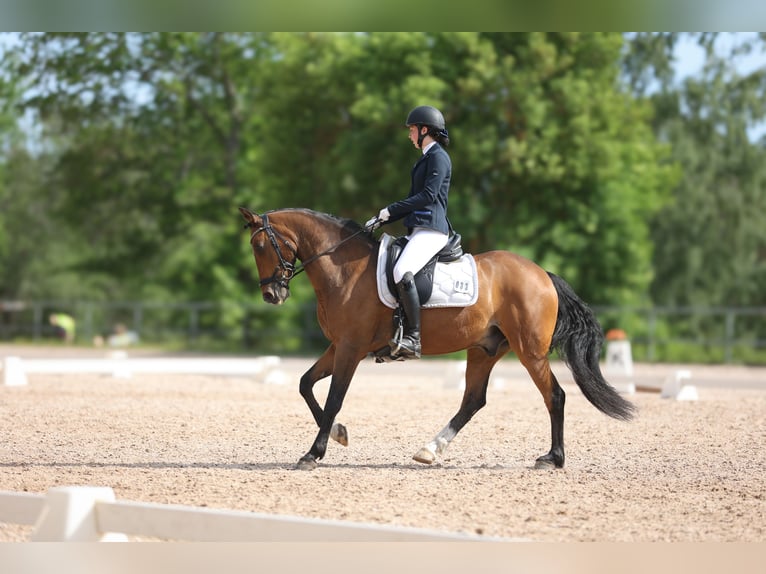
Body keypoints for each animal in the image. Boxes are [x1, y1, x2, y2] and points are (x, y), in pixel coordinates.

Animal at [239, 207, 634, 471]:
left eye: (260, 246)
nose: (272, 295)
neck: (343, 269)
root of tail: (542, 274)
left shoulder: (351, 348)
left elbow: (335, 397)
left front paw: (314, 452)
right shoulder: (338, 345)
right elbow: (306, 384)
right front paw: (338, 433)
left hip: (530, 351)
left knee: (555, 395)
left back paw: (553, 458)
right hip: (484, 349)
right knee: (473, 400)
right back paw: (430, 449)